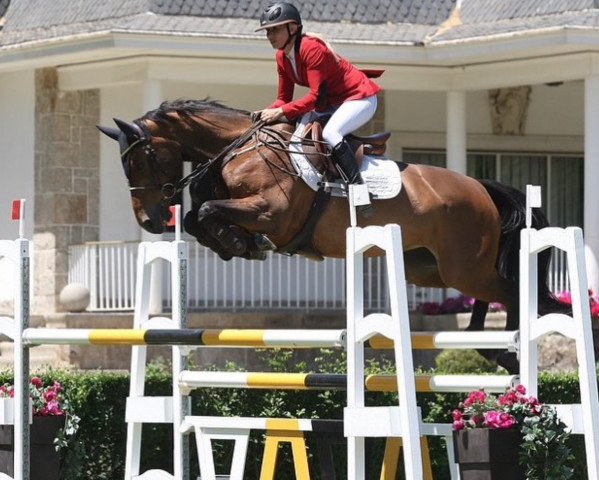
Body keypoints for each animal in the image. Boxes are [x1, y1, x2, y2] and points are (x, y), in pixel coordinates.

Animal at [97, 99, 564, 374]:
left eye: (142, 159)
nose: (151, 221)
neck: (242, 149)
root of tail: (482, 187)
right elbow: (198, 219)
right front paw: (237, 245)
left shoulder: (273, 213)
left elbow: (209, 212)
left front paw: (243, 243)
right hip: (433, 269)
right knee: (494, 296)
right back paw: (492, 346)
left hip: (464, 265)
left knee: (515, 291)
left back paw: (509, 349)